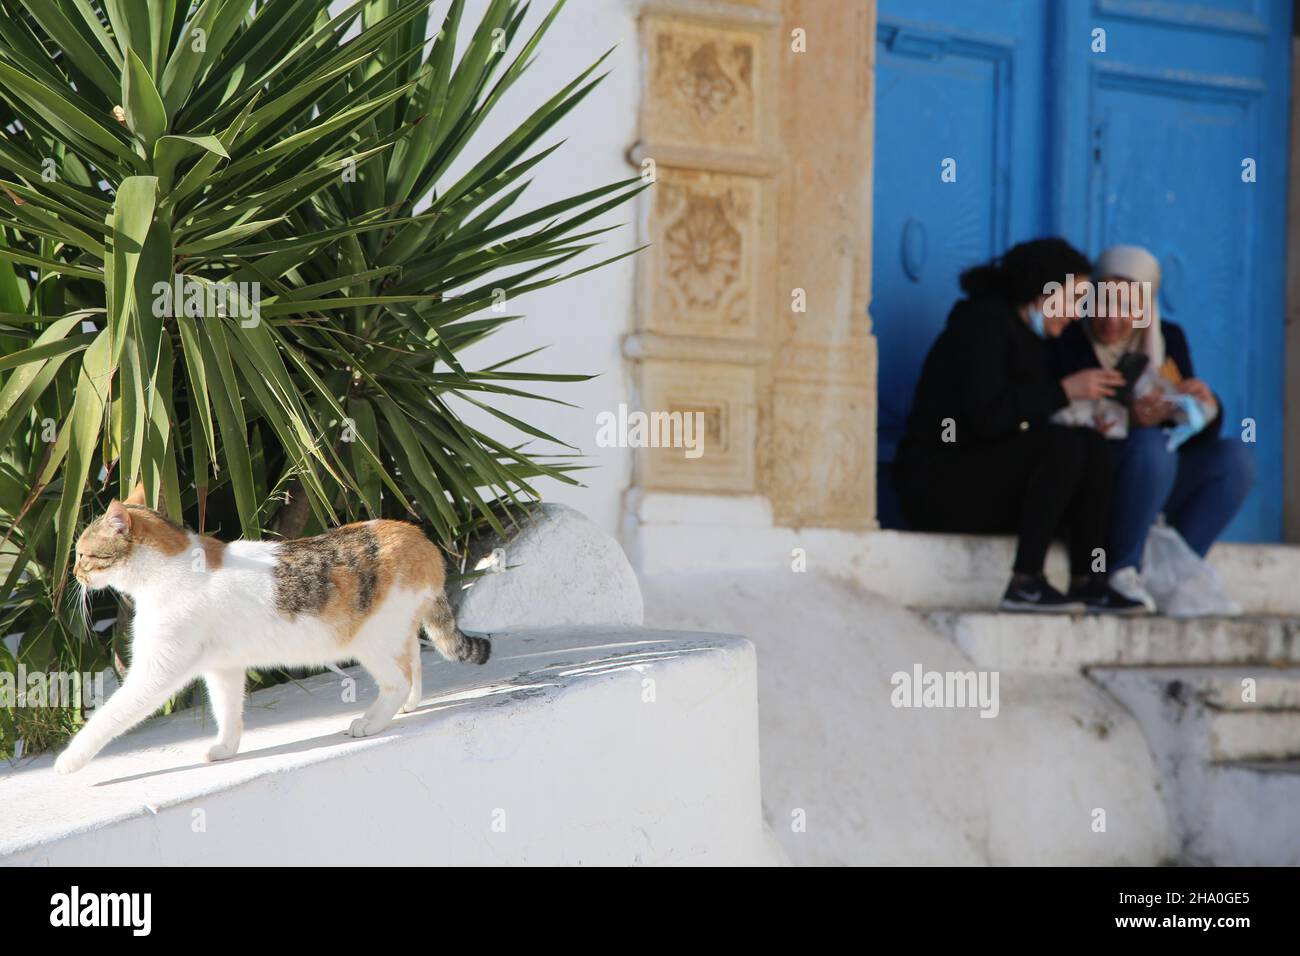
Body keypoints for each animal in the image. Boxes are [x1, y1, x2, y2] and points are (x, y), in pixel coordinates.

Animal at [53, 496, 488, 775]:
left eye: (82, 554)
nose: (73, 573)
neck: (167, 571)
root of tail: (418, 536)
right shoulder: (223, 667)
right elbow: (227, 711)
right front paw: (226, 749)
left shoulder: (156, 670)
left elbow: (109, 715)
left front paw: (70, 761)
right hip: (395, 629)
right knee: (414, 662)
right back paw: (408, 705)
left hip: (369, 640)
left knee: (398, 678)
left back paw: (372, 721)